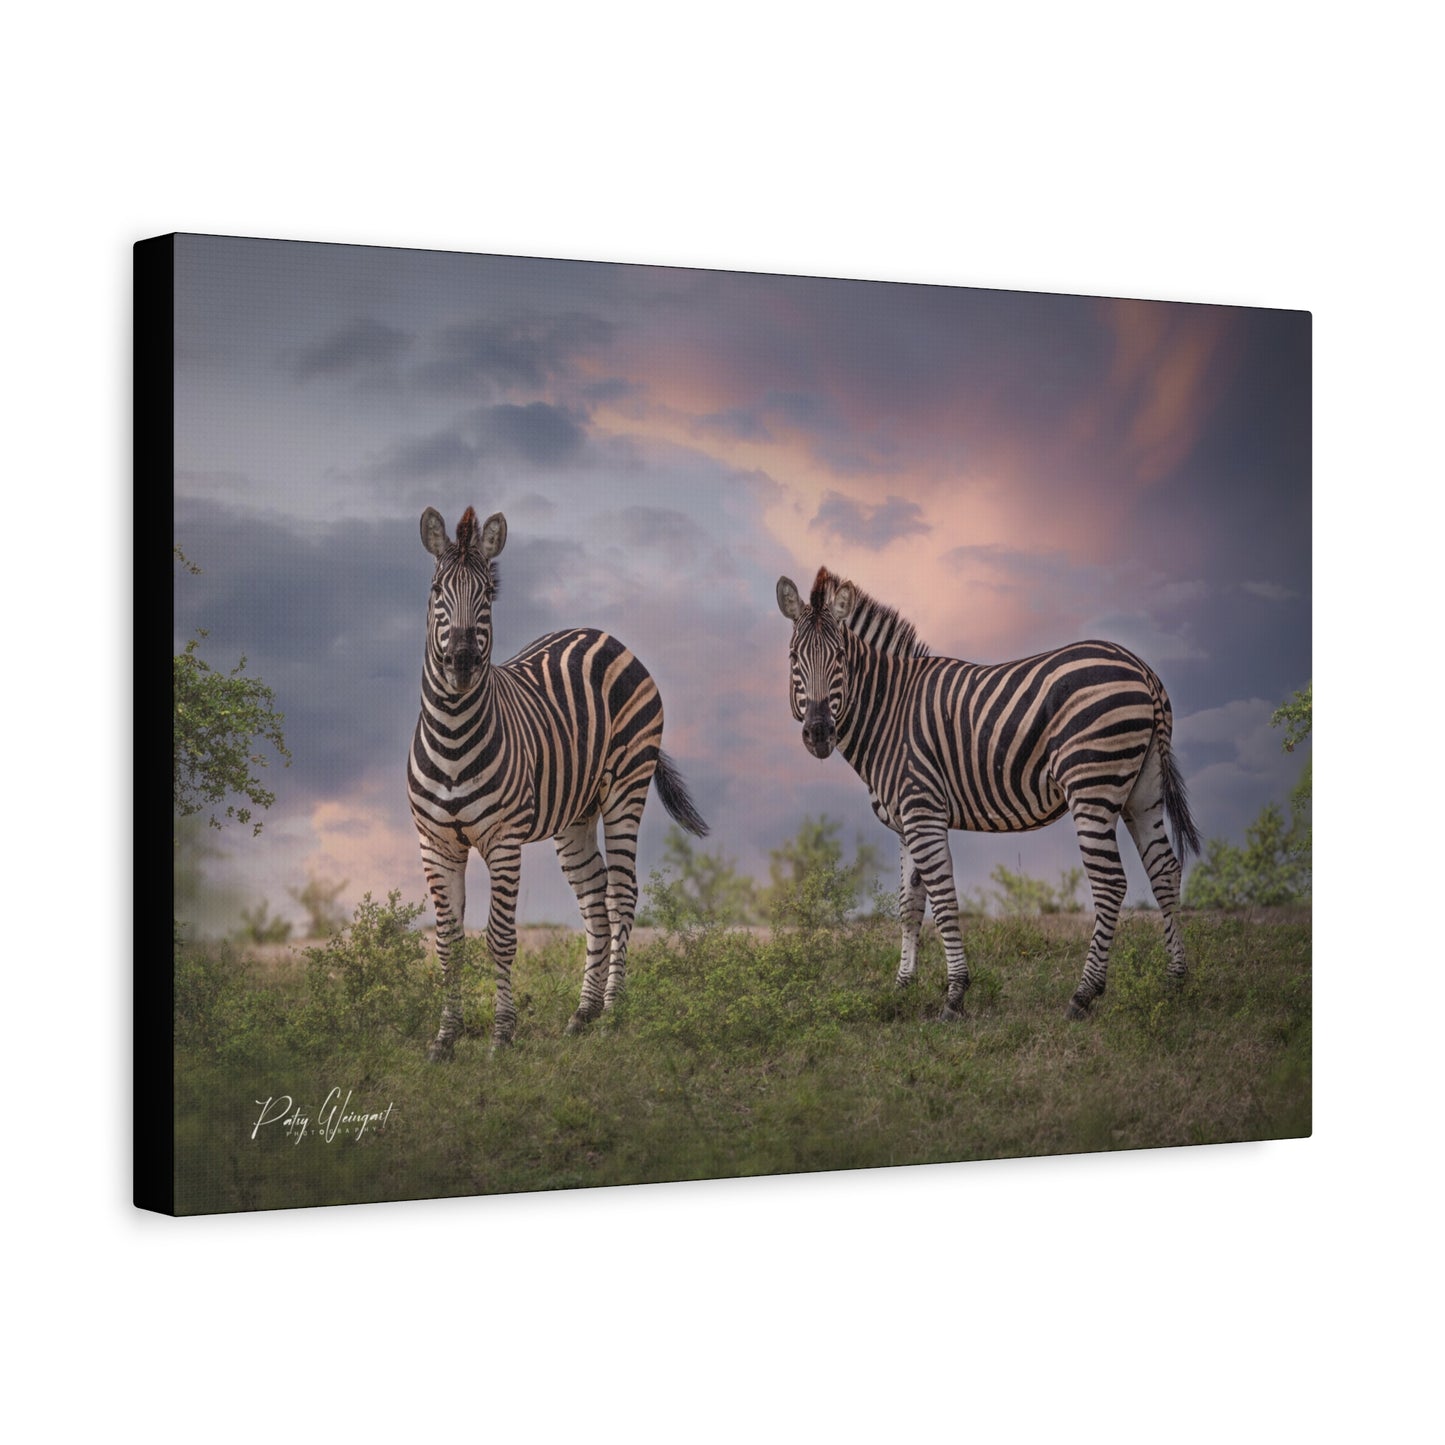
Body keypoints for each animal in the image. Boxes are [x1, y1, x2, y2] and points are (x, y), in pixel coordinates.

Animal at [410, 505, 708, 1057]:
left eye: (487, 594)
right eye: (437, 589)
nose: (461, 662)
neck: (454, 734)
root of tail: (603, 635)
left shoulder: (504, 840)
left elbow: (500, 937)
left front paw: (502, 1035)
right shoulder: (434, 842)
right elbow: (447, 943)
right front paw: (445, 1039)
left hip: (626, 787)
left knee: (621, 894)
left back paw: (612, 1013)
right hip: (575, 815)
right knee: (594, 901)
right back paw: (583, 1013)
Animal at [775, 566, 1201, 1020]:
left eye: (839, 659)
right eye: (794, 659)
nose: (819, 733)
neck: (889, 712)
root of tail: (1141, 668)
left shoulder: (923, 809)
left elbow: (944, 901)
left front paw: (955, 994)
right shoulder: (906, 823)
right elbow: (909, 907)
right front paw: (902, 987)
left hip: (1092, 787)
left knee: (1110, 884)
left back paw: (1083, 994)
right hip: (1143, 791)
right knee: (1164, 870)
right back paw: (1175, 980)